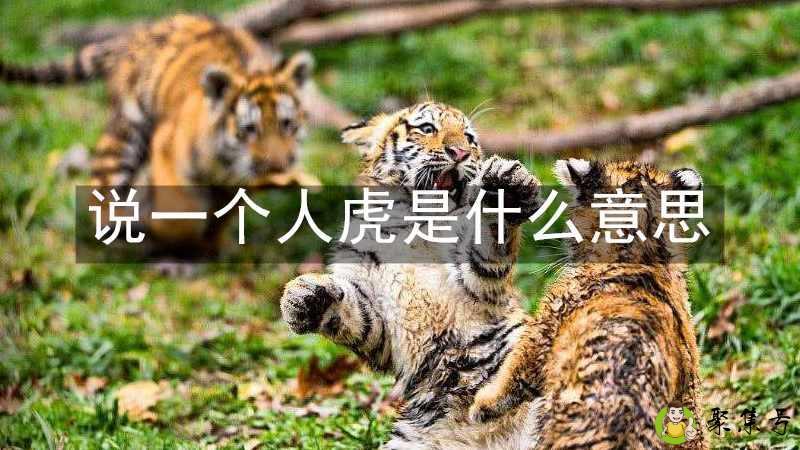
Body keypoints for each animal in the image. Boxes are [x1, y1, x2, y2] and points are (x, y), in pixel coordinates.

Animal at [0, 14, 314, 254]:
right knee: (102, 189)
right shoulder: (166, 147)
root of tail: (138, 32)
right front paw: (175, 242)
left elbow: (223, 215)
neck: (226, 165)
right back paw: (122, 230)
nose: (279, 166)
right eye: (249, 130)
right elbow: (181, 212)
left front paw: (210, 247)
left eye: (287, 124)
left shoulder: (234, 186)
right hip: (127, 131)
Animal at [280, 102, 548, 449]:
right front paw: (301, 298)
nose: (460, 152)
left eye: (469, 138)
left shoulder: (479, 285)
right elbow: (355, 318)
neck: (414, 222)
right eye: (428, 128)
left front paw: (508, 191)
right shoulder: (379, 319)